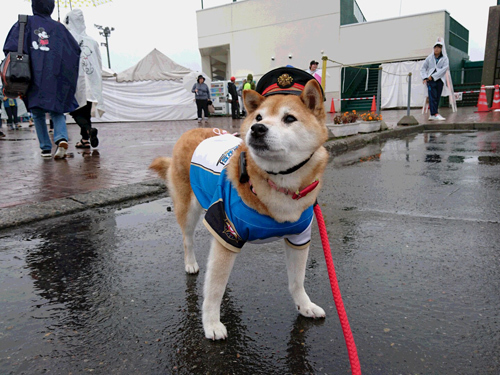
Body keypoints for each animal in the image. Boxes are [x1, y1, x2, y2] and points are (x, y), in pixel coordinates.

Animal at [150, 67, 330, 340]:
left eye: (289, 118)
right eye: (259, 116)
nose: (257, 128)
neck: (279, 184)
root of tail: (190, 132)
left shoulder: (299, 237)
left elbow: (297, 281)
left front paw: (305, 305)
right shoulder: (227, 230)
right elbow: (213, 289)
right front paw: (211, 323)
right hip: (189, 209)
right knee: (187, 239)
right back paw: (191, 263)